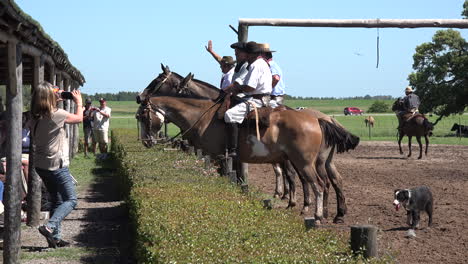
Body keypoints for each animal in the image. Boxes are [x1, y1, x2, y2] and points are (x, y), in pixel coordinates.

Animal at [135, 64, 358, 223]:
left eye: (143, 116)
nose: (139, 96)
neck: (202, 115)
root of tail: (320, 120)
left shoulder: (219, 156)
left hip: (304, 162)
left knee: (318, 184)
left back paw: (317, 215)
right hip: (318, 161)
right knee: (331, 181)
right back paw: (335, 213)